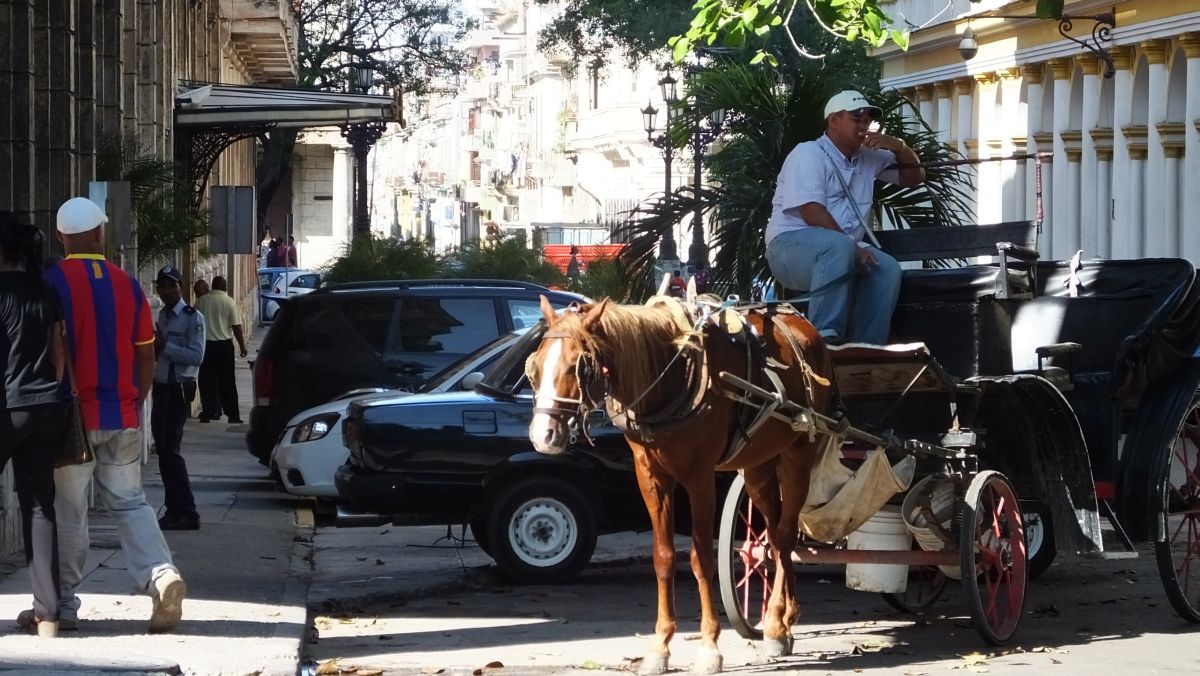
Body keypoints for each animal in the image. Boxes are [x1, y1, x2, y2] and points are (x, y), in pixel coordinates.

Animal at [525, 295, 835, 672]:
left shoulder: (699, 478)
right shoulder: (651, 477)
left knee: (787, 533)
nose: (543, 436)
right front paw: (660, 646)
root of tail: (803, 324)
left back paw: (777, 622)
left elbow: (702, 560)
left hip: (798, 454)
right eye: (534, 368)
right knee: (776, 538)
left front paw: (710, 647)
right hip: (757, 467)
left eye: (577, 367)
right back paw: (783, 621)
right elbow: (663, 558)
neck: (671, 377)